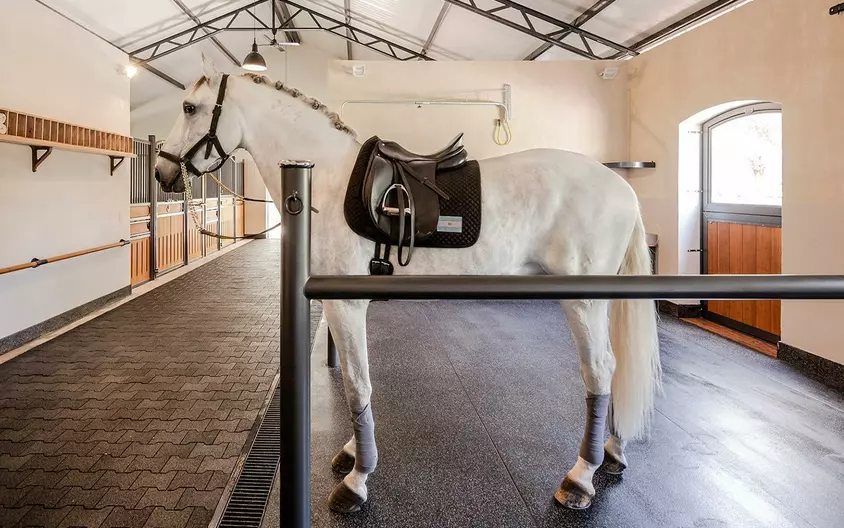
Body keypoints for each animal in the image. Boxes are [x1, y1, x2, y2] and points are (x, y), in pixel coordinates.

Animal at [154, 56, 661, 513]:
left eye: (190, 107)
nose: (163, 173)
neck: (327, 186)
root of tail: (623, 189)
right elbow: (356, 381)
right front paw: (353, 455)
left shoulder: (345, 307)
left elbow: (357, 384)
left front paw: (357, 481)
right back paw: (612, 453)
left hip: (583, 300)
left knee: (600, 370)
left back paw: (580, 478)